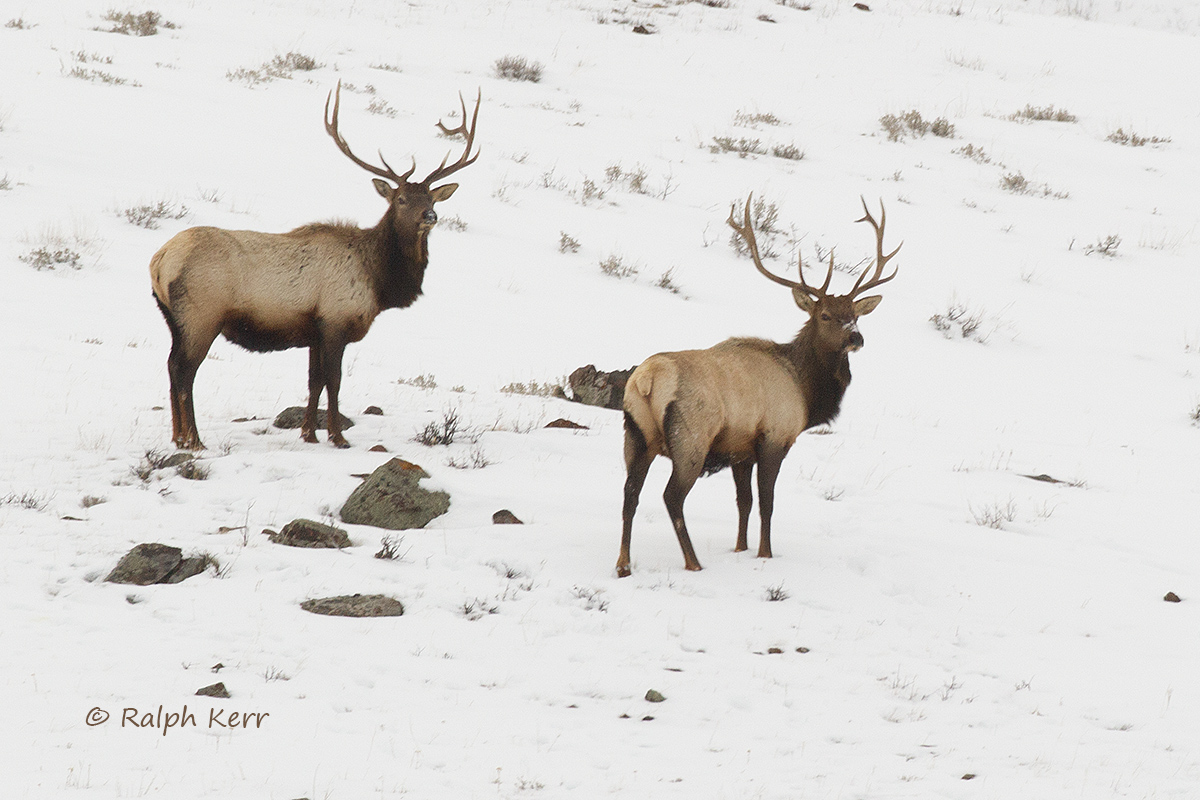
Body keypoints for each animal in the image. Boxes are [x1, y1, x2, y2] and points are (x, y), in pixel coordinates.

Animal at [149, 82, 480, 450]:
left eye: (432, 198)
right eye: (401, 199)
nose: (430, 216)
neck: (379, 280)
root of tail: (160, 260)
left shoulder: (313, 330)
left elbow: (313, 381)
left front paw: (309, 433)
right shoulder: (335, 320)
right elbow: (333, 380)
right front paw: (337, 436)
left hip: (173, 318)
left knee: (170, 366)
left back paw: (178, 436)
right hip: (201, 315)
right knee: (184, 371)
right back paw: (193, 439)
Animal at [616, 195, 901, 577]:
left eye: (854, 315)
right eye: (824, 315)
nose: (856, 338)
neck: (806, 392)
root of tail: (647, 379)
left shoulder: (741, 449)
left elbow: (743, 502)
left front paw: (740, 548)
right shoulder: (774, 437)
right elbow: (767, 502)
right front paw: (765, 553)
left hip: (636, 434)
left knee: (630, 493)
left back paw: (623, 564)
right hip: (690, 438)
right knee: (671, 496)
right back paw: (694, 563)